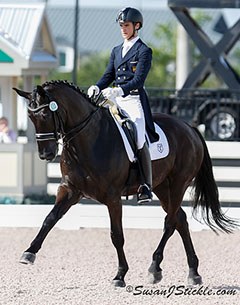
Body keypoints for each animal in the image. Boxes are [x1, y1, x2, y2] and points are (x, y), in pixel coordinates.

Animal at [13, 80, 238, 284]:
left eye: (44, 115)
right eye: (30, 117)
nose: (46, 154)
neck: (89, 139)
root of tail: (189, 128)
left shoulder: (113, 197)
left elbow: (117, 235)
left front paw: (120, 275)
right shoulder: (69, 190)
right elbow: (49, 219)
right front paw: (29, 253)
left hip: (178, 184)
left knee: (171, 221)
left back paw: (155, 267)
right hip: (161, 187)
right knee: (180, 220)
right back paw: (192, 272)